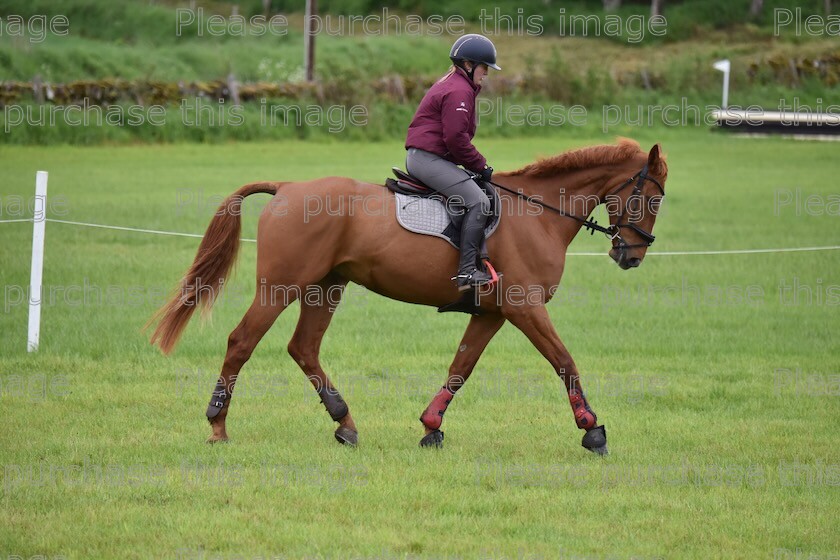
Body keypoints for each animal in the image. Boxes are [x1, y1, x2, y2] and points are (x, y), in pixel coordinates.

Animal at [148, 139, 668, 456]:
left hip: (326, 286)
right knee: (242, 341)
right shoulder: (525, 307)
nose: (632, 255)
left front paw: (431, 426)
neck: (537, 213)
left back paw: (345, 423)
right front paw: (593, 430)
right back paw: (218, 426)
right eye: (653, 198)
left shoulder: (493, 313)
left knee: (304, 348)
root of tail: (288, 187)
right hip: (282, 286)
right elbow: (564, 361)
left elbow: (461, 368)